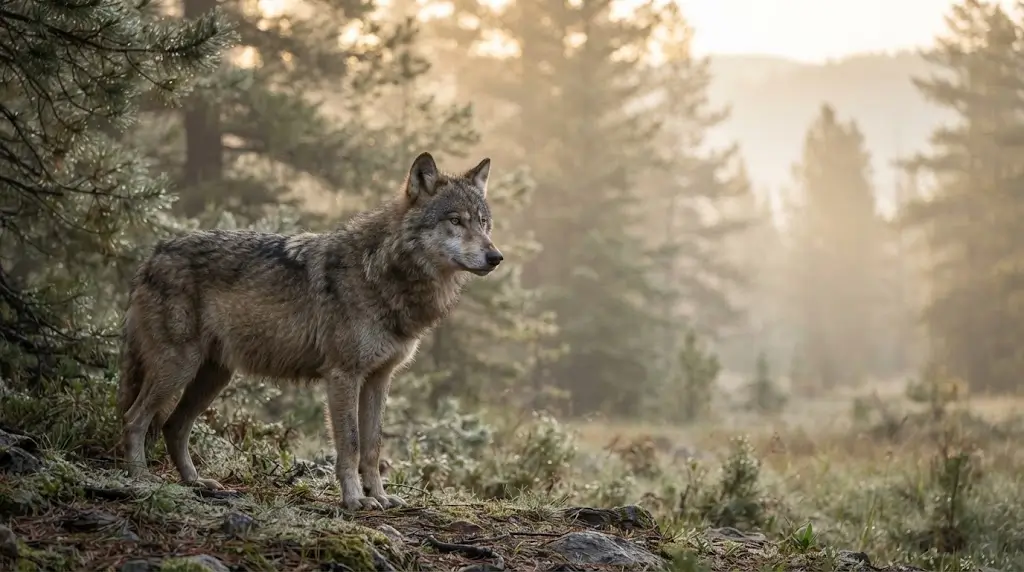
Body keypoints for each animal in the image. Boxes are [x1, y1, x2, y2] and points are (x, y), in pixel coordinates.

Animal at [116, 152, 502, 511]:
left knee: (173, 426)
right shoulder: (343, 376)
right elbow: (351, 444)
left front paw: (379, 496)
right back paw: (141, 478)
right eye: (456, 221)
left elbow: (373, 446)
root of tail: (152, 256)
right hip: (178, 368)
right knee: (134, 418)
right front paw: (355, 500)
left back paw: (195, 482)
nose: (496, 257)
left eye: (484, 223)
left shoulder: (379, 379)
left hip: (214, 377)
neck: (382, 274)